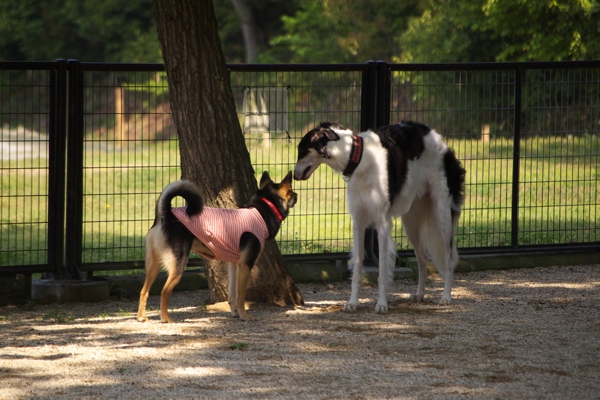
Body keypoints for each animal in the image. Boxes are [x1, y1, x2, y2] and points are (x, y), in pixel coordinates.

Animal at [137, 171, 298, 323]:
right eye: (291, 191)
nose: (296, 195)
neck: (261, 212)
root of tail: (166, 215)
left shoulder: (234, 265)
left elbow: (232, 295)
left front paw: (235, 313)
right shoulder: (245, 265)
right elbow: (240, 296)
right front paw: (244, 316)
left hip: (154, 264)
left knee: (144, 290)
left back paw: (141, 317)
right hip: (178, 265)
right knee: (164, 292)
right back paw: (166, 318)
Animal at [294, 121, 465, 313]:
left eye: (300, 150)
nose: (293, 175)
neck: (358, 157)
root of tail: (439, 139)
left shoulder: (382, 223)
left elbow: (382, 271)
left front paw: (382, 304)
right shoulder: (358, 222)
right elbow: (357, 268)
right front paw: (352, 302)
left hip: (442, 218)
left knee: (449, 260)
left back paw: (446, 297)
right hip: (411, 222)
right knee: (422, 259)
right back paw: (419, 294)